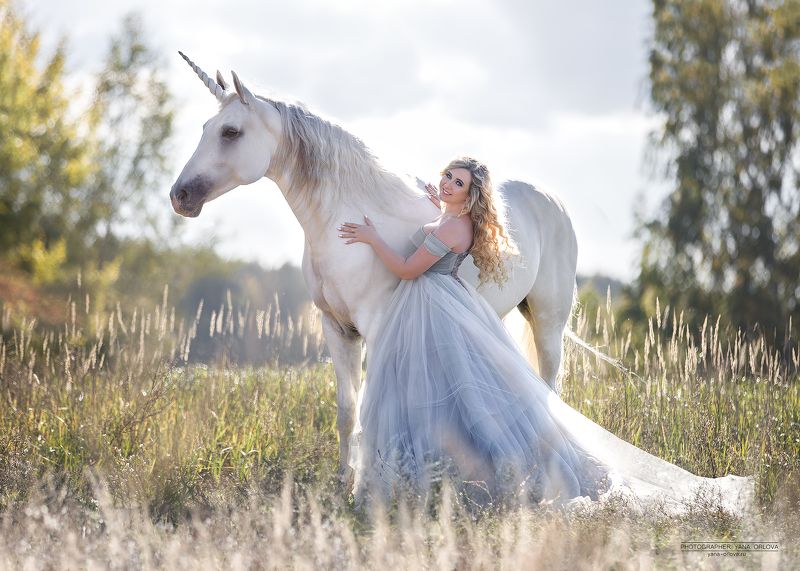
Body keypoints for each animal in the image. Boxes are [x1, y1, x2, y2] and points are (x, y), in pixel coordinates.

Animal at [170, 53, 586, 479]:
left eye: (231, 132)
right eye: (206, 128)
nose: (179, 196)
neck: (348, 217)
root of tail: (551, 199)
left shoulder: (376, 326)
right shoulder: (337, 329)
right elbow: (347, 410)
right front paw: (344, 480)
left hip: (549, 320)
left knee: (549, 388)